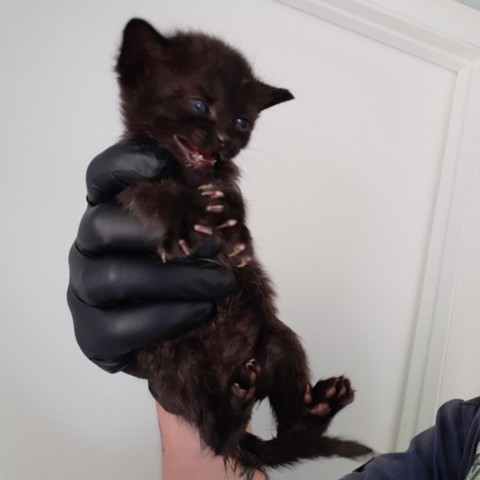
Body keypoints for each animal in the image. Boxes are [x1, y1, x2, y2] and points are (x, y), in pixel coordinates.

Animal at [115, 18, 372, 472]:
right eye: (198, 104)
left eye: (241, 122)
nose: (222, 140)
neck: (192, 179)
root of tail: (231, 372)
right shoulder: (132, 186)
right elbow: (157, 196)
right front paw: (181, 224)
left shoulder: (227, 180)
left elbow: (234, 203)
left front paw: (236, 237)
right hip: (179, 367)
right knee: (216, 438)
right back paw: (234, 409)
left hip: (280, 343)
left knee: (288, 425)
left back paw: (318, 405)